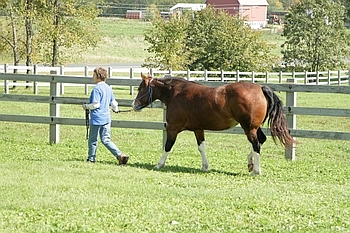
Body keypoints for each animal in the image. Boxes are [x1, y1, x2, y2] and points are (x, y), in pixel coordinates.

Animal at [132, 73, 296, 175]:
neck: (175, 93)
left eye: (140, 88)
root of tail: (261, 88)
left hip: (249, 128)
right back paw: (250, 163)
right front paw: (205, 167)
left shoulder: (173, 128)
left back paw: (256, 170)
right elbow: (202, 147)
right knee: (260, 141)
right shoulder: (198, 129)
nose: (134, 105)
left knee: (256, 144)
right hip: (254, 127)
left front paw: (159, 164)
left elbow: (168, 147)